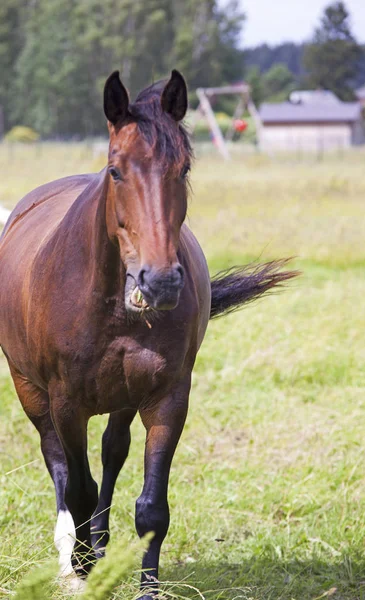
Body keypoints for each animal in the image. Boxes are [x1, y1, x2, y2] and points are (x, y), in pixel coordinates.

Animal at [0, 70, 298, 596]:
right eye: (116, 171)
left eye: (183, 169)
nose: (159, 281)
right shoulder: (65, 403)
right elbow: (77, 488)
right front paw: (81, 571)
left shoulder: (168, 398)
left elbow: (151, 509)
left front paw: (145, 585)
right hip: (29, 389)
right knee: (57, 463)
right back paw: (71, 558)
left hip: (122, 398)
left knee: (112, 451)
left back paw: (98, 547)